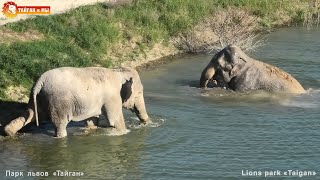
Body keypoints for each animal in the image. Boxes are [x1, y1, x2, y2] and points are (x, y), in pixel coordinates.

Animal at [4, 66, 150, 138]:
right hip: (58, 102)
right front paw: (124, 131)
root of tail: (39, 81)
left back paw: (9, 132)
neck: (118, 72)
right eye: (138, 94)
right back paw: (61, 137)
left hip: (39, 98)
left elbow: (92, 120)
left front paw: (91, 129)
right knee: (60, 124)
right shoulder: (112, 97)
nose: (144, 123)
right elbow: (114, 120)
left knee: (29, 115)